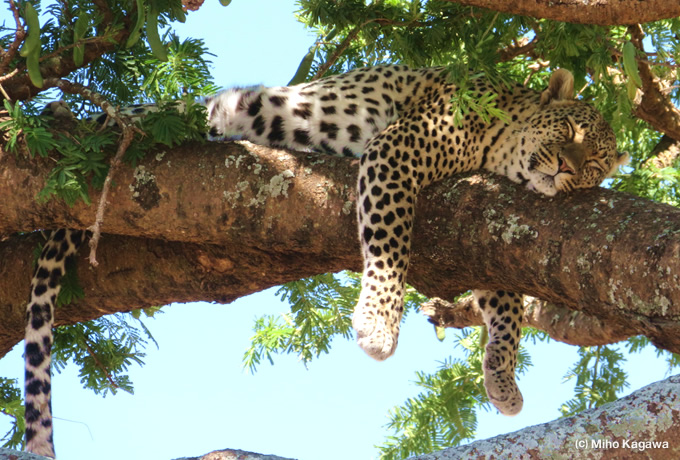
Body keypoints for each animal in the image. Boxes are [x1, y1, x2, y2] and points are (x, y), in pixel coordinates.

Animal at [22, 64, 628, 456]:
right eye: (568, 132)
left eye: (595, 163)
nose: (564, 169)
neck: (498, 151)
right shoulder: (397, 150)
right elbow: (391, 243)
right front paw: (378, 324)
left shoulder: (489, 232)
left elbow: (506, 309)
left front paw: (501, 377)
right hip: (216, 108)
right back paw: (72, 117)